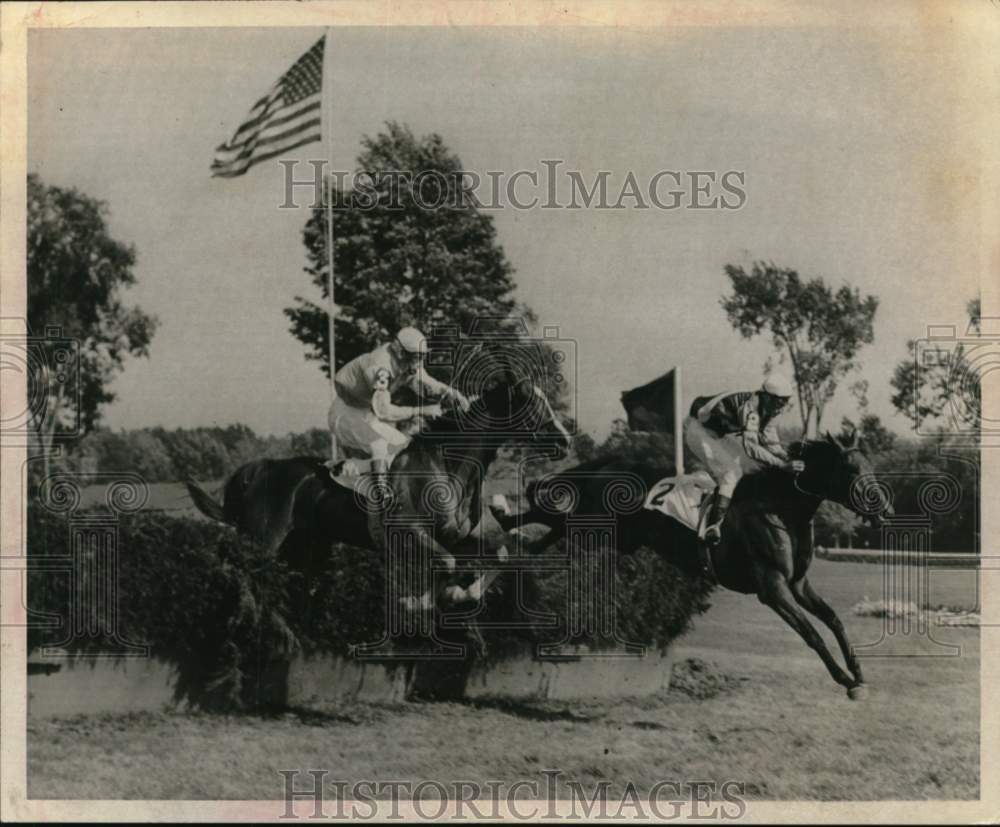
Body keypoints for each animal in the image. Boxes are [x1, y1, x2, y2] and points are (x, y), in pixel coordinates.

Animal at [187, 360, 572, 600]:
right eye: (530, 403)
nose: (565, 440)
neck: (446, 466)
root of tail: (258, 469)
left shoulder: (456, 536)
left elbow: (500, 556)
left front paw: (462, 592)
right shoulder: (411, 532)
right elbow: (445, 565)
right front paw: (426, 600)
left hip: (307, 546)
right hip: (262, 540)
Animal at [490, 434, 892, 700]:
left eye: (872, 466)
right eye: (851, 469)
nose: (885, 508)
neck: (778, 507)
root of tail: (612, 462)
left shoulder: (798, 585)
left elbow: (834, 621)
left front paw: (858, 672)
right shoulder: (772, 588)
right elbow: (811, 633)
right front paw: (845, 680)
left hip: (611, 535)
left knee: (547, 533)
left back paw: (506, 552)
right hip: (596, 523)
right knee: (548, 514)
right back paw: (501, 517)